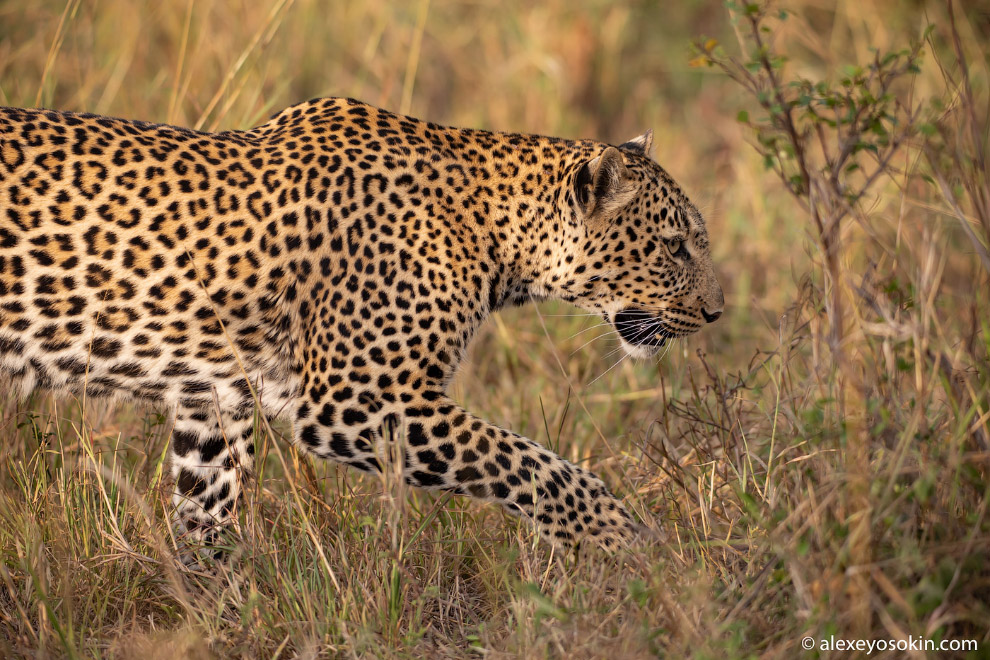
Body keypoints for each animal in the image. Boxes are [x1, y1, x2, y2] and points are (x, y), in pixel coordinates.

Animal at [1, 96, 728, 556]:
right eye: (674, 247)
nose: (719, 311)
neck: (493, 235)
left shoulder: (212, 401)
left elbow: (206, 514)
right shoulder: (356, 401)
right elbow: (541, 466)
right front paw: (630, 547)